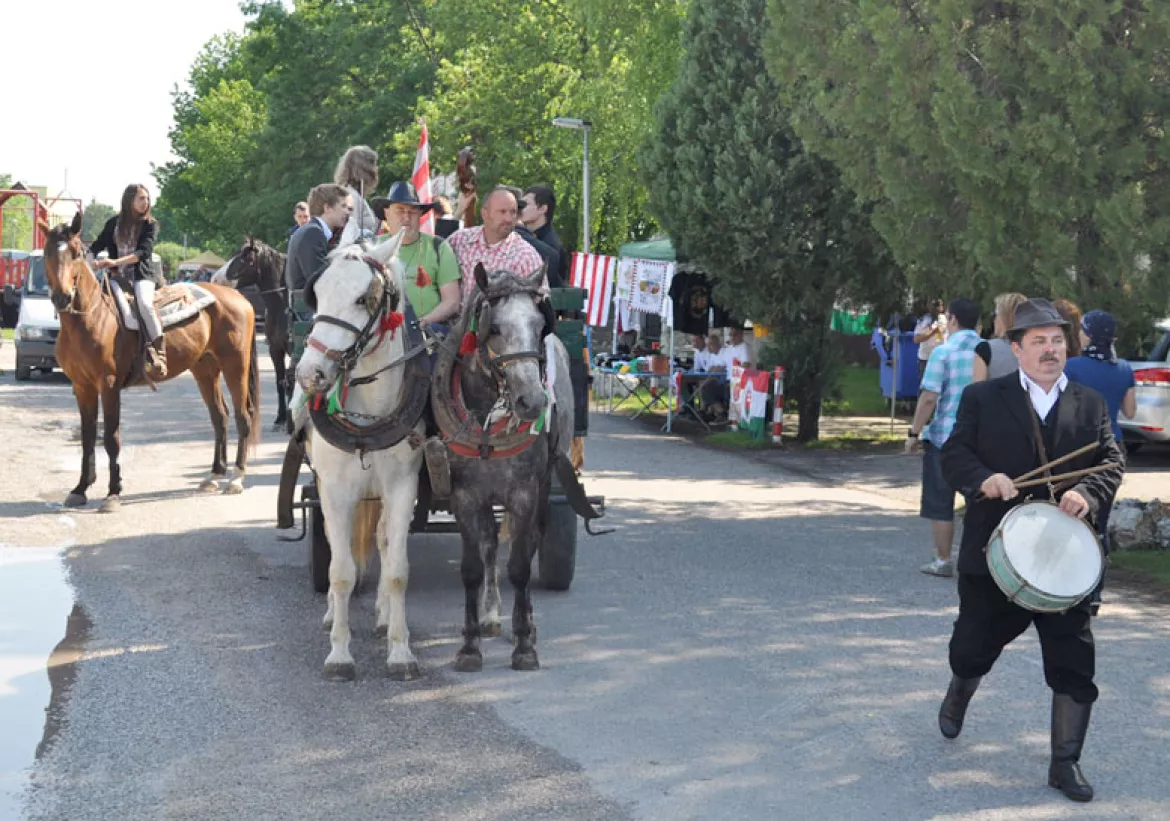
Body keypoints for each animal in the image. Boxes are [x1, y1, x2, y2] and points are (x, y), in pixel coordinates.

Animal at [42, 212, 262, 512]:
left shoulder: (108, 385)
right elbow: (88, 437)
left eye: (76, 253)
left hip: (235, 366)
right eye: (46, 253)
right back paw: (214, 475)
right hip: (205, 370)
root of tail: (239, 297)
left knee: (242, 416)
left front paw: (113, 493)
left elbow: (111, 437)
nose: (62, 297)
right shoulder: (82, 386)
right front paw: (80, 489)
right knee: (220, 416)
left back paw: (236, 479)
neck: (91, 318)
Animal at [292, 231, 425, 682]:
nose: (310, 375)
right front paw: (339, 653)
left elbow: (399, 569)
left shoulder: (403, 485)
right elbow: (341, 570)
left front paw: (400, 651)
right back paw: (333, 615)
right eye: (316, 294)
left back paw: (383, 616)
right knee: (338, 545)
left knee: (382, 539)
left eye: (363, 299)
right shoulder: (334, 490)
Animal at [432, 266, 573, 673]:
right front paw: (469, 647)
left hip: (544, 485)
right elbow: (472, 568)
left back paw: (522, 622)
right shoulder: (466, 497)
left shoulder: (524, 494)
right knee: (490, 543)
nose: (532, 402)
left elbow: (520, 567)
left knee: (528, 543)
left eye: (541, 325)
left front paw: (524, 644)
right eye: (493, 328)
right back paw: (491, 615)